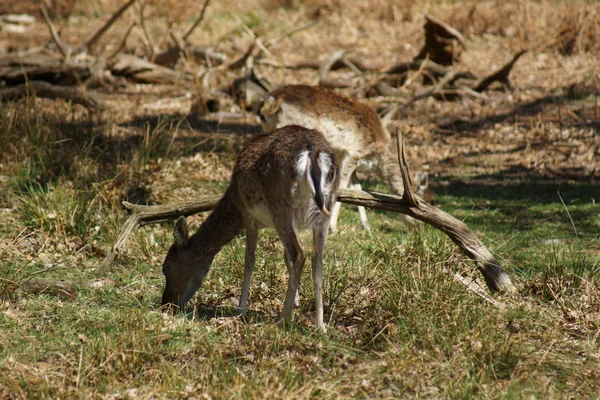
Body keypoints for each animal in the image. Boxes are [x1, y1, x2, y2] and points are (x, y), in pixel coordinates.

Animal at [159, 126, 338, 332]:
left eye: (166, 267)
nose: (166, 304)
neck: (234, 198)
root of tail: (312, 153)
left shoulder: (248, 213)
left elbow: (249, 260)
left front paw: (241, 310)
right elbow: (284, 257)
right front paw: (297, 301)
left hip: (280, 206)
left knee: (299, 255)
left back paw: (284, 320)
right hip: (326, 207)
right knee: (317, 259)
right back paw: (320, 325)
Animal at [256, 85, 432, 231]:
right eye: (422, 202)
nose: (421, 230)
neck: (377, 156)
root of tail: (271, 102)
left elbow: (357, 188)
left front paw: (366, 226)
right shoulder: (353, 152)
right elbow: (343, 185)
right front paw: (333, 227)